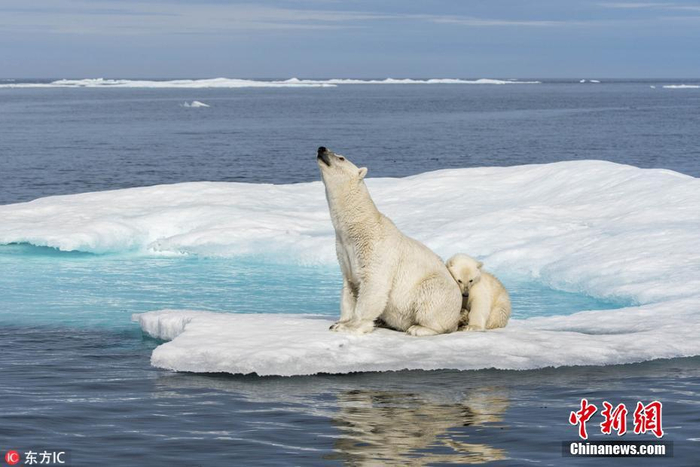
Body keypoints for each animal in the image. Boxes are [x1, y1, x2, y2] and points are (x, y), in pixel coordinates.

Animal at [317, 147, 462, 336]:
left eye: (341, 157)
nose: (321, 148)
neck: (359, 227)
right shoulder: (344, 249)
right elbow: (349, 286)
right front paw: (339, 322)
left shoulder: (375, 249)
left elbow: (373, 285)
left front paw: (350, 326)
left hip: (437, 290)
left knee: (431, 300)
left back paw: (418, 328)